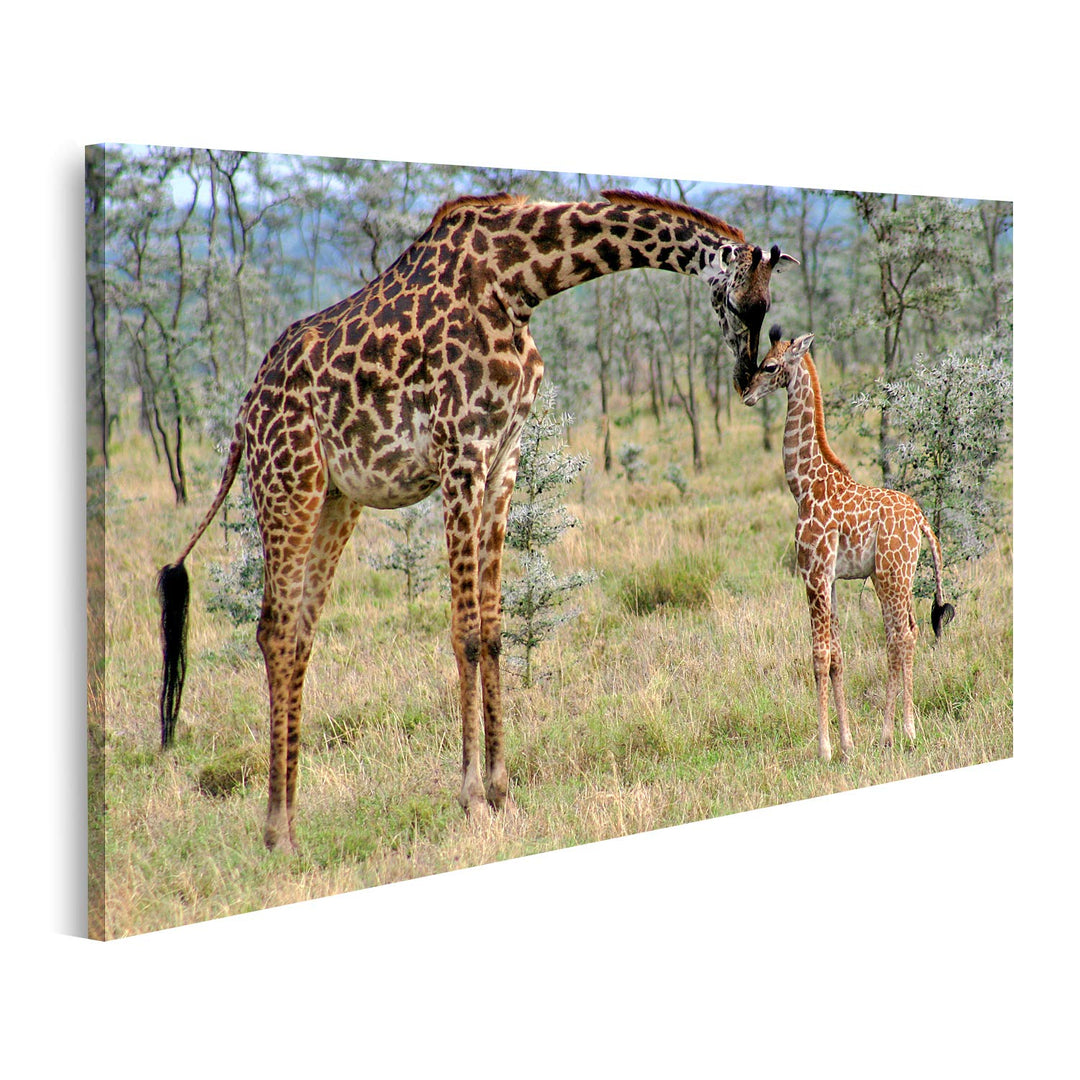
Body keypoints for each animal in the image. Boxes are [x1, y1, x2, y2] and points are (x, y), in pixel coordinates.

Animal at [158, 190, 797, 853]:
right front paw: (471, 801)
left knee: (300, 632)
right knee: (274, 630)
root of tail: (243, 413)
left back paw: (291, 818)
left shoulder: (503, 458)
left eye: (768, 307)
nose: (746, 379)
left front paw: (503, 793)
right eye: (738, 302)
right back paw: (276, 832)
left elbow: (492, 630)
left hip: (337, 499)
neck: (520, 282)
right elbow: (464, 632)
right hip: (288, 484)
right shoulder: (460, 454)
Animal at [741, 326, 954, 762]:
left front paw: (824, 749)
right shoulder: (832, 580)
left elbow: (819, 656)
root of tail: (923, 521)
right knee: (903, 633)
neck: (804, 486)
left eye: (769, 366)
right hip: (894, 576)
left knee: (901, 636)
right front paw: (846, 743)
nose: (747, 394)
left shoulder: (813, 575)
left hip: (891, 574)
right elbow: (838, 656)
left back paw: (902, 732)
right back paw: (893, 732)